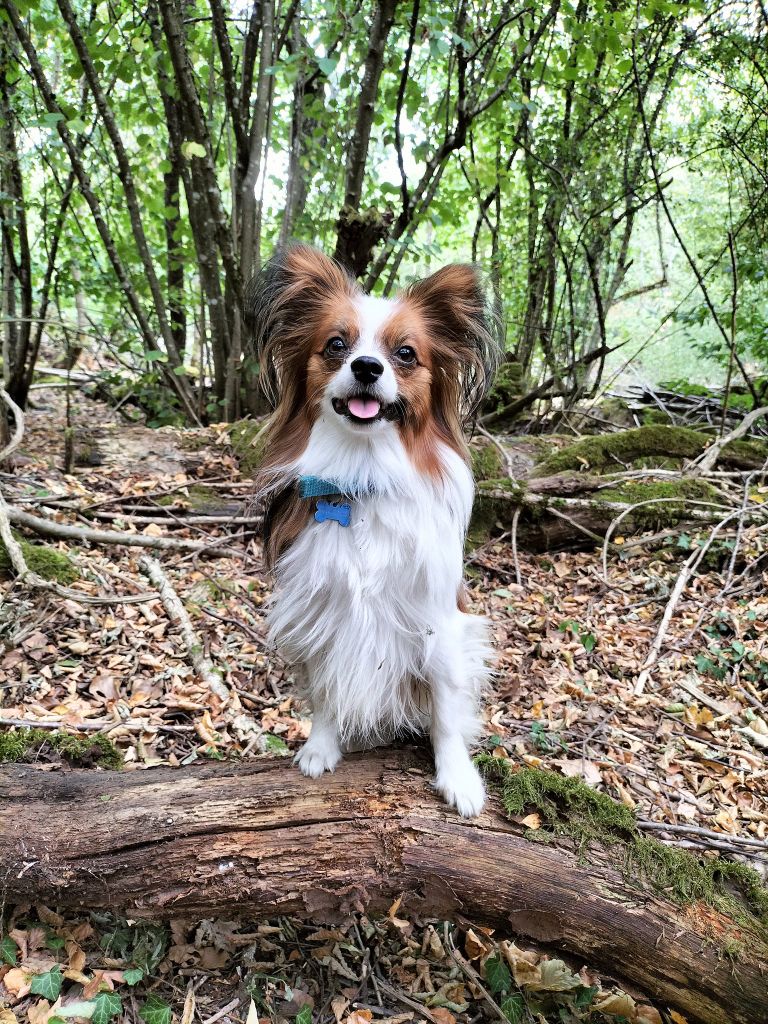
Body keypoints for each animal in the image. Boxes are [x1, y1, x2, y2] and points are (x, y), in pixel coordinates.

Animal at [249, 241, 501, 815]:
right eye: (336, 345)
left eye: (405, 354)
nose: (366, 366)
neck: (364, 479)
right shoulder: (320, 610)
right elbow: (325, 690)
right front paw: (321, 747)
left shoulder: (438, 622)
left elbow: (446, 712)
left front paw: (458, 778)